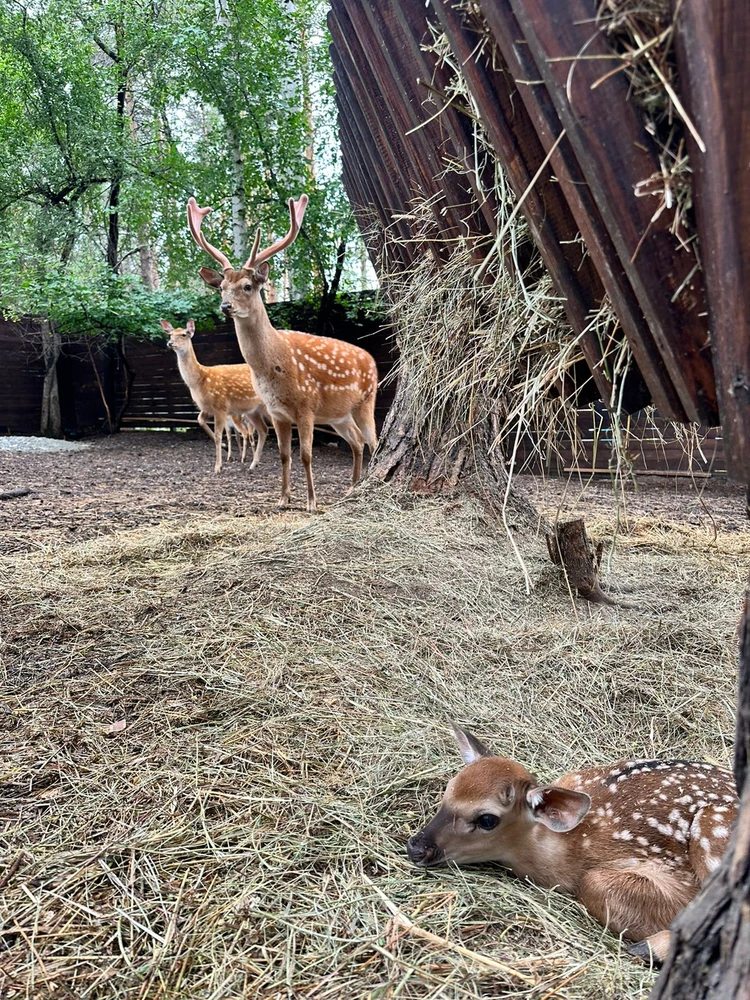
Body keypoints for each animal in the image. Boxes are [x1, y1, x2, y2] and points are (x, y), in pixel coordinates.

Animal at [162, 322, 270, 474]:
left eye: (184, 334)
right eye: (170, 334)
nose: (170, 343)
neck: (199, 381)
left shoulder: (220, 405)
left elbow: (219, 435)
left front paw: (218, 466)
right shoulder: (207, 407)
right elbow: (200, 420)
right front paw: (224, 448)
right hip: (253, 411)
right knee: (263, 430)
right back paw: (253, 464)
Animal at [186, 194, 378, 512]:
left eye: (247, 286)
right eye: (222, 287)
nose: (226, 306)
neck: (274, 367)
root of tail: (373, 360)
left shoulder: (307, 406)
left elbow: (306, 455)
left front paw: (311, 502)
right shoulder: (277, 412)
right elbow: (284, 455)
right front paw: (283, 499)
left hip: (365, 401)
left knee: (372, 442)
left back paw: (363, 486)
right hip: (338, 416)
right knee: (357, 442)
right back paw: (352, 487)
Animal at [408, 728, 736, 960]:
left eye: (487, 819)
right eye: (449, 789)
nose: (416, 846)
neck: (569, 847)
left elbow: (593, 884)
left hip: (712, 829)